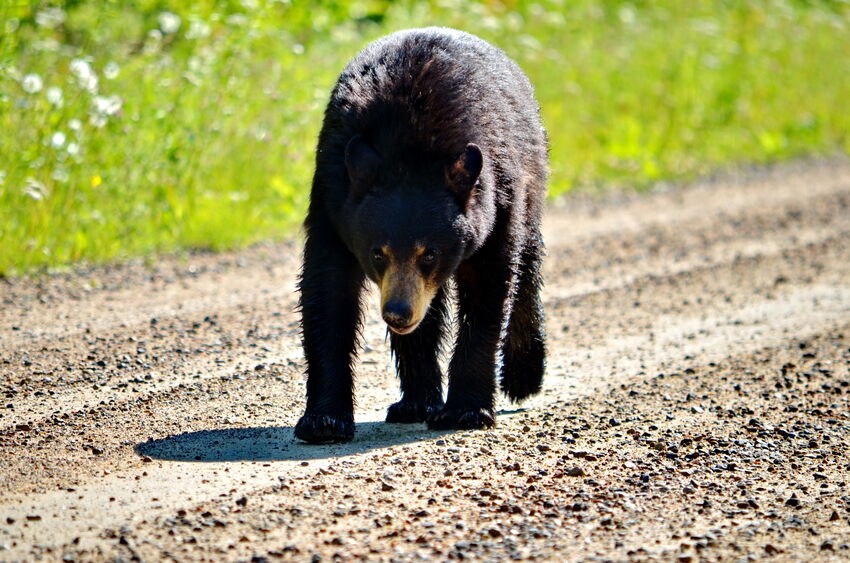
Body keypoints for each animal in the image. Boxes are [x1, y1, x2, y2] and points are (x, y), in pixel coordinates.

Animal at [294, 27, 544, 446]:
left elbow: (490, 289)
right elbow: (327, 293)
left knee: (527, 266)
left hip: (533, 176)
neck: (409, 149)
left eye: (431, 254)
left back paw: (524, 374)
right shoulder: (334, 199)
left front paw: (466, 410)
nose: (397, 312)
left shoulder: (498, 196)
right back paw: (416, 402)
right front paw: (323, 420)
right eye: (377, 253)